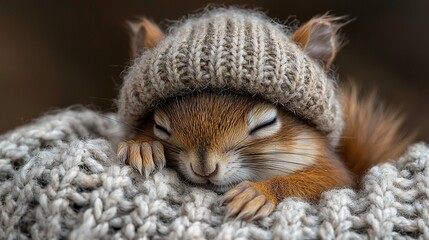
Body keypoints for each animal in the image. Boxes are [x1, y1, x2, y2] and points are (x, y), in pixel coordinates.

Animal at [115, 14, 412, 221]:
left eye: (267, 123)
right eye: (160, 125)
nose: (204, 168)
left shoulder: (337, 174)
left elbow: (323, 182)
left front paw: (257, 193)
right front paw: (141, 146)